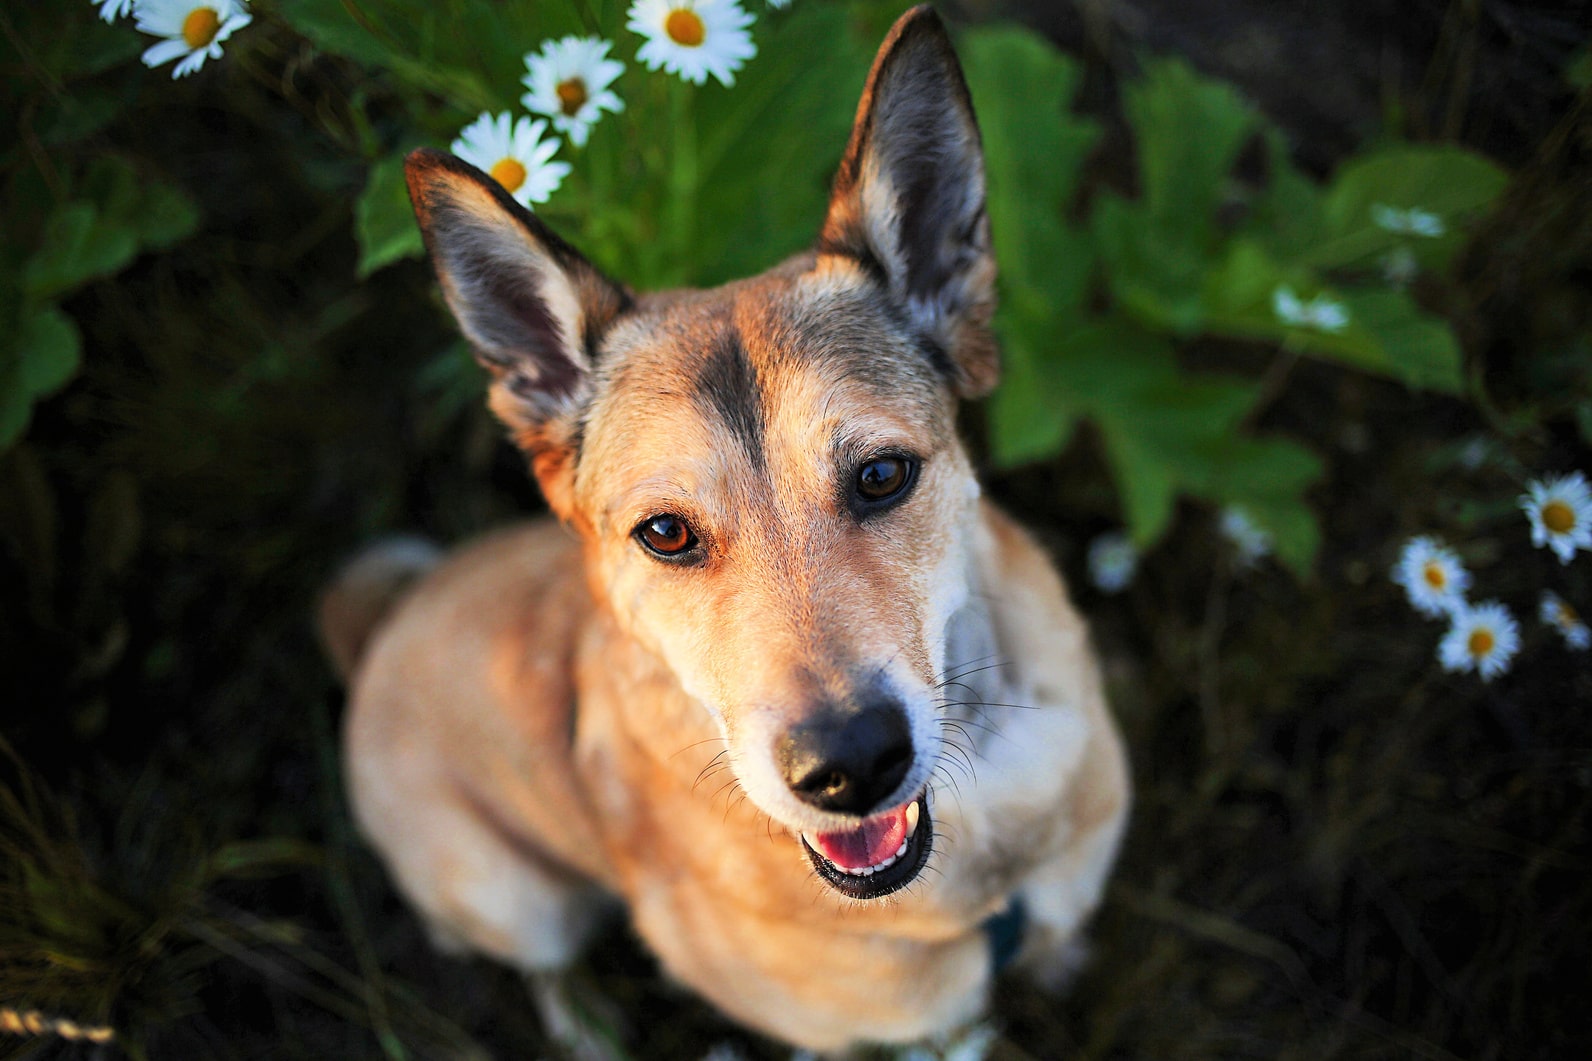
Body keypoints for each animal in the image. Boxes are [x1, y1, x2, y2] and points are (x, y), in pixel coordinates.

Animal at [316, 6, 1127, 1051]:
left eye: (882, 475)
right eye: (665, 533)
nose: (849, 767)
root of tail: (379, 626)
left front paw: (1062, 958)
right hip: (514, 897)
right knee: (544, 964)